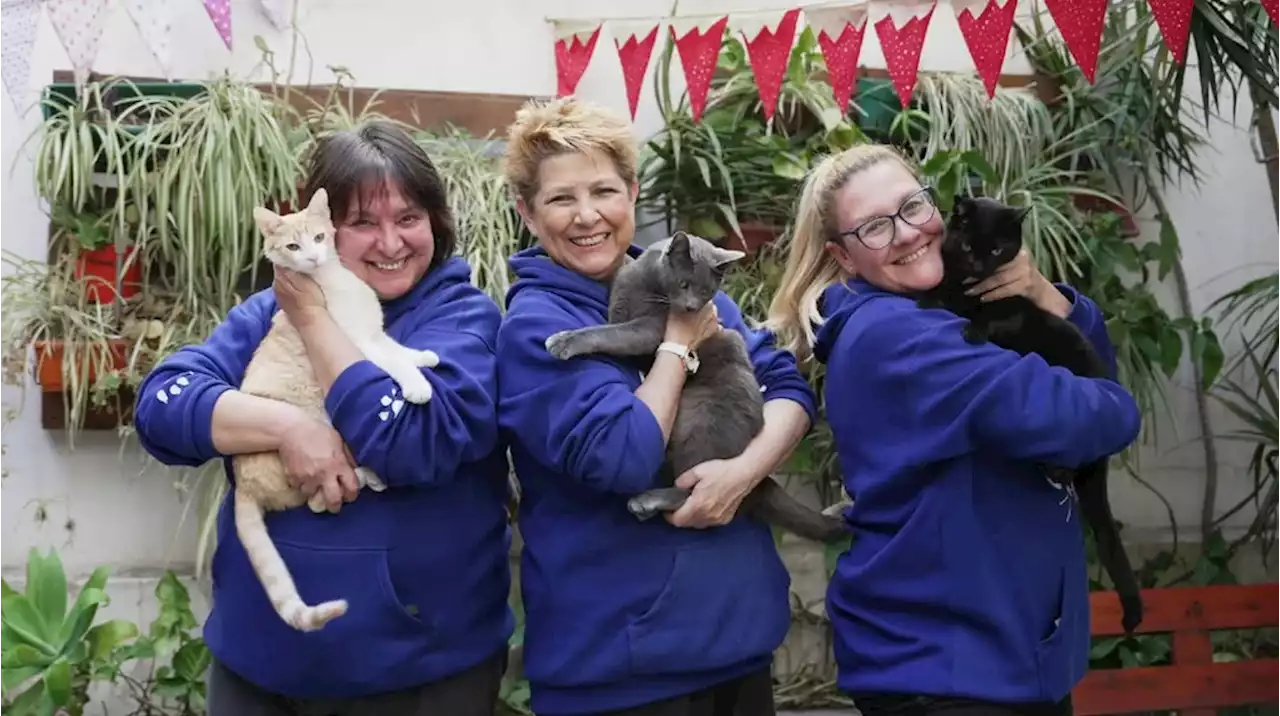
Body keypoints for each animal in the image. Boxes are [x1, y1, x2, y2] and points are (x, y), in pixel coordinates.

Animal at [232, 190, 442, 632]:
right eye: (292, 247)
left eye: (317, 237)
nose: (312, 258)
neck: (335, 280)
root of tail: (243, 484)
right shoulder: (357, 343)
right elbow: (390, 360)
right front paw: (416, 385)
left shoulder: (373, 333)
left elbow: (396, 349)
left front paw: (424, 357)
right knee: (316, 499)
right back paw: (369, 474)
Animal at [540, 233, 849, 540]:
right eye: (684, 284)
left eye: (706, 292)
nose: (690, 307)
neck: (644, 281)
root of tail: (759, 484)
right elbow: (612, 319)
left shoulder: (650, 329)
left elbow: (609, 333)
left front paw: (563, 341)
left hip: (702, 421)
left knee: (697, 489)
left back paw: (647, 501)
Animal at [921, 194, 1141, 632]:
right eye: (968, 246)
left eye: (996, 250)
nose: (978, 265)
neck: (970, 288)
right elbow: (943, 291)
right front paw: (927, 298)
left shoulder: (1015, 308)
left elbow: (990, 315)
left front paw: (971, 327)